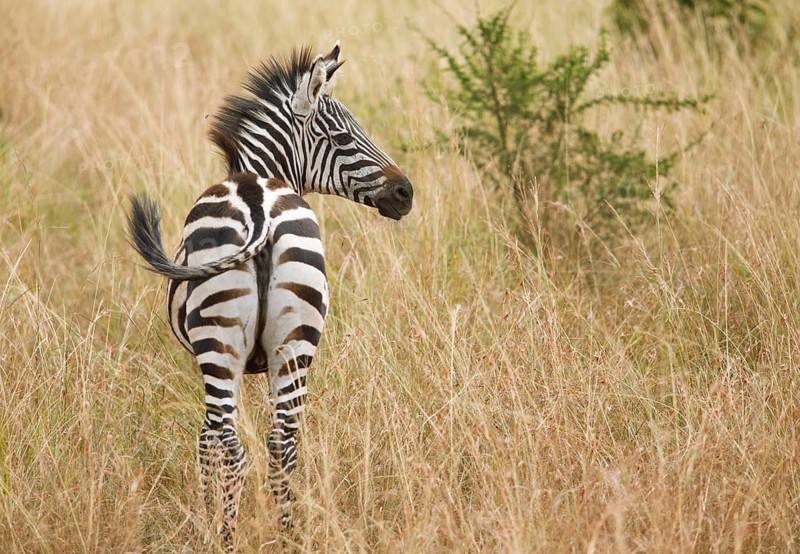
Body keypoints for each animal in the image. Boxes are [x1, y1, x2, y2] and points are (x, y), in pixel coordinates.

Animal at [127, 42, 413, 549]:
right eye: (343, 138)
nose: (406, 193)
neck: (259, 175)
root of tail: (258, 205)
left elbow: (205, 442)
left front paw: (206, 518)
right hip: (297, 342)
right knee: (283, 448)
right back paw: (288, 538)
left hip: (219, 344)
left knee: (232, 446)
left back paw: (224, 539)